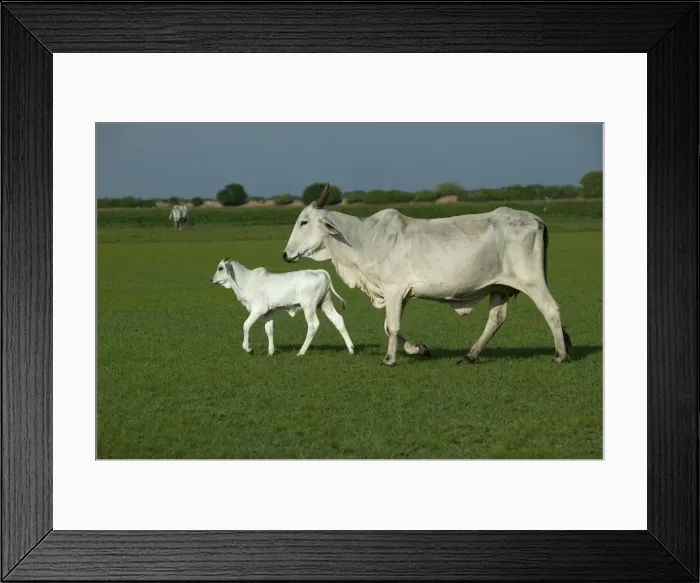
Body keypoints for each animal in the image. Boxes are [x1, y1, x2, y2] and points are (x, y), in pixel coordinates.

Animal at [210, 257, 355, 357]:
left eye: (221, 268)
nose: (211, 279)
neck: (246, 280)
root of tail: (320, 272)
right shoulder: (268, 312)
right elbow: (269, 330)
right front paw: (270, 351)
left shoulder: (258, 310)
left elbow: (246, 325)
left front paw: (248, 348)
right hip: (325, 304)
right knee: (338, 320)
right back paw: (351, 349)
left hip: (309, 307)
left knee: (313, 325)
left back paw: (301, 352)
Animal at [282, 185, 572, 367]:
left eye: (304, 221)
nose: (285, 254)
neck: (364, 238)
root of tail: (536, 219)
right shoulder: (401, 295)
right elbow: (390, 327)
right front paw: (418, 349)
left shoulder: (393, 289)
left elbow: (392, 326)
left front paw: (390, 360)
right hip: (499, 287)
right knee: (496, 319)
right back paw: (470, 356)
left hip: (531, 281)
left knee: (551, 309)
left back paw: (560, 353)